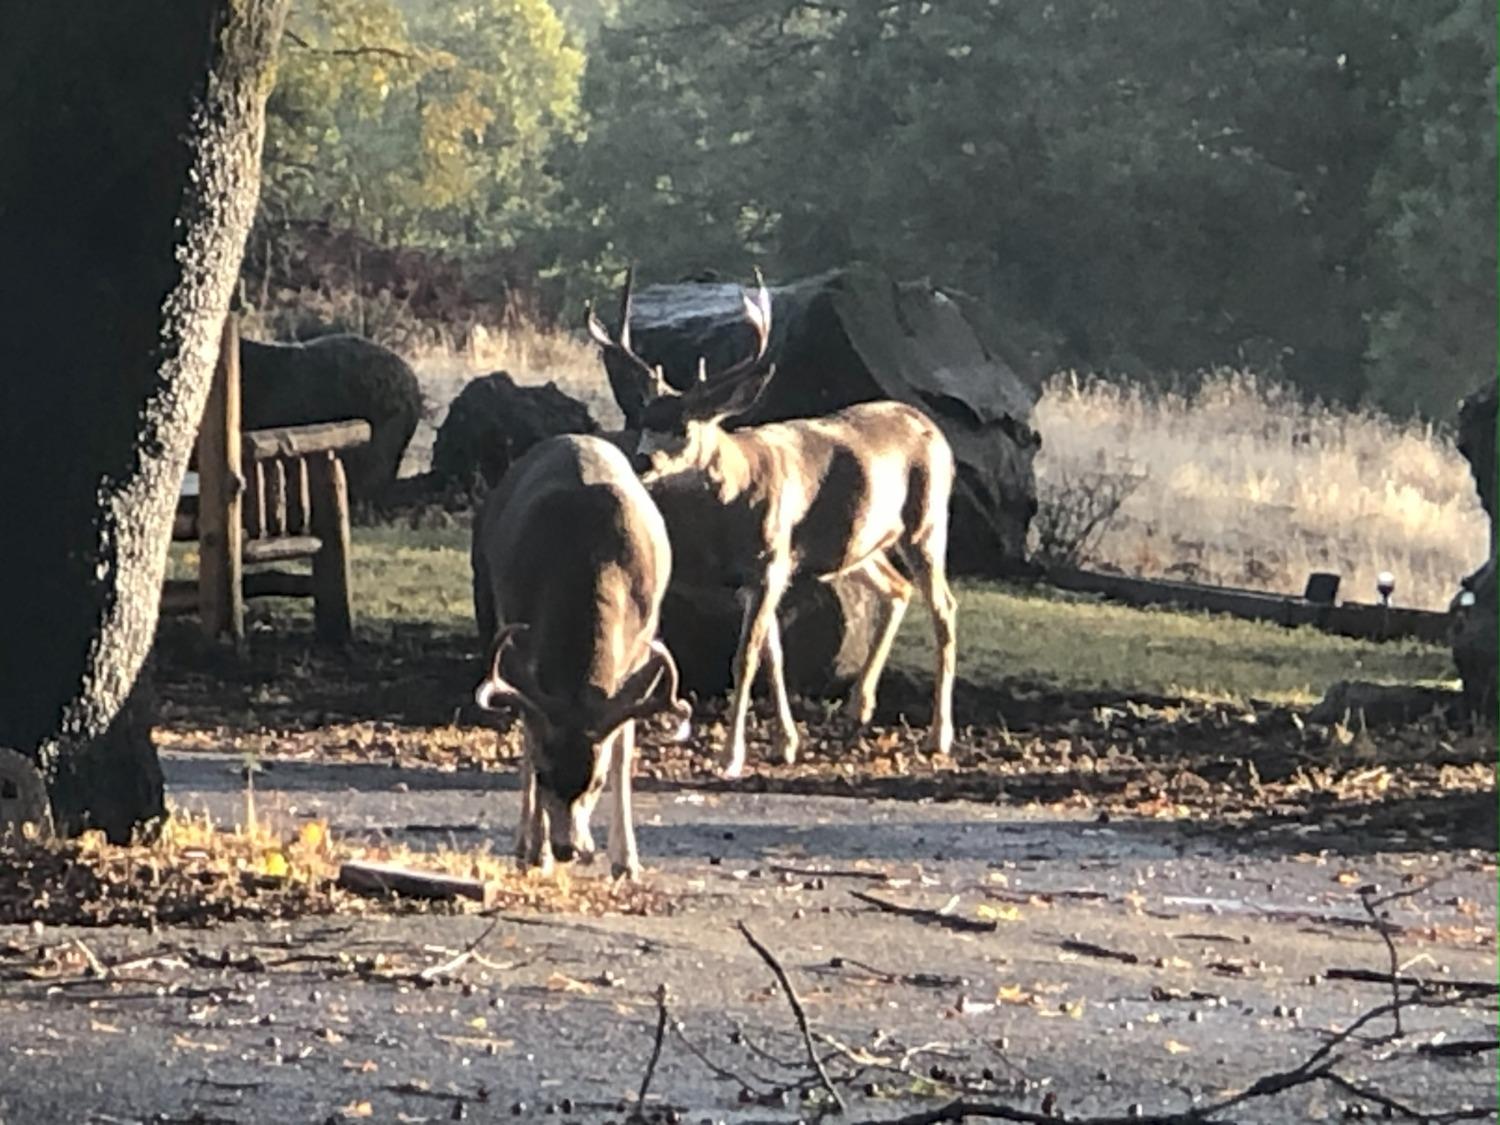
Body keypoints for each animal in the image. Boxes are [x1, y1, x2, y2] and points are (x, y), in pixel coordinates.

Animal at [588, 274, 960, 786]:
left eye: (684, 427)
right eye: (644, 421)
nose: (642, 460)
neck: (733, 494)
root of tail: (935, 432)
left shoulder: (770, 560)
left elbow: (745, 657)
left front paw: (731, 757)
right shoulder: (759, 575)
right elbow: (774, 653)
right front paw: (786, 743)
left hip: (926, 522)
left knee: (944, 607)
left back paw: (938, 736)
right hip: (859, 546)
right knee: (897, 589)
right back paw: (859, 706)